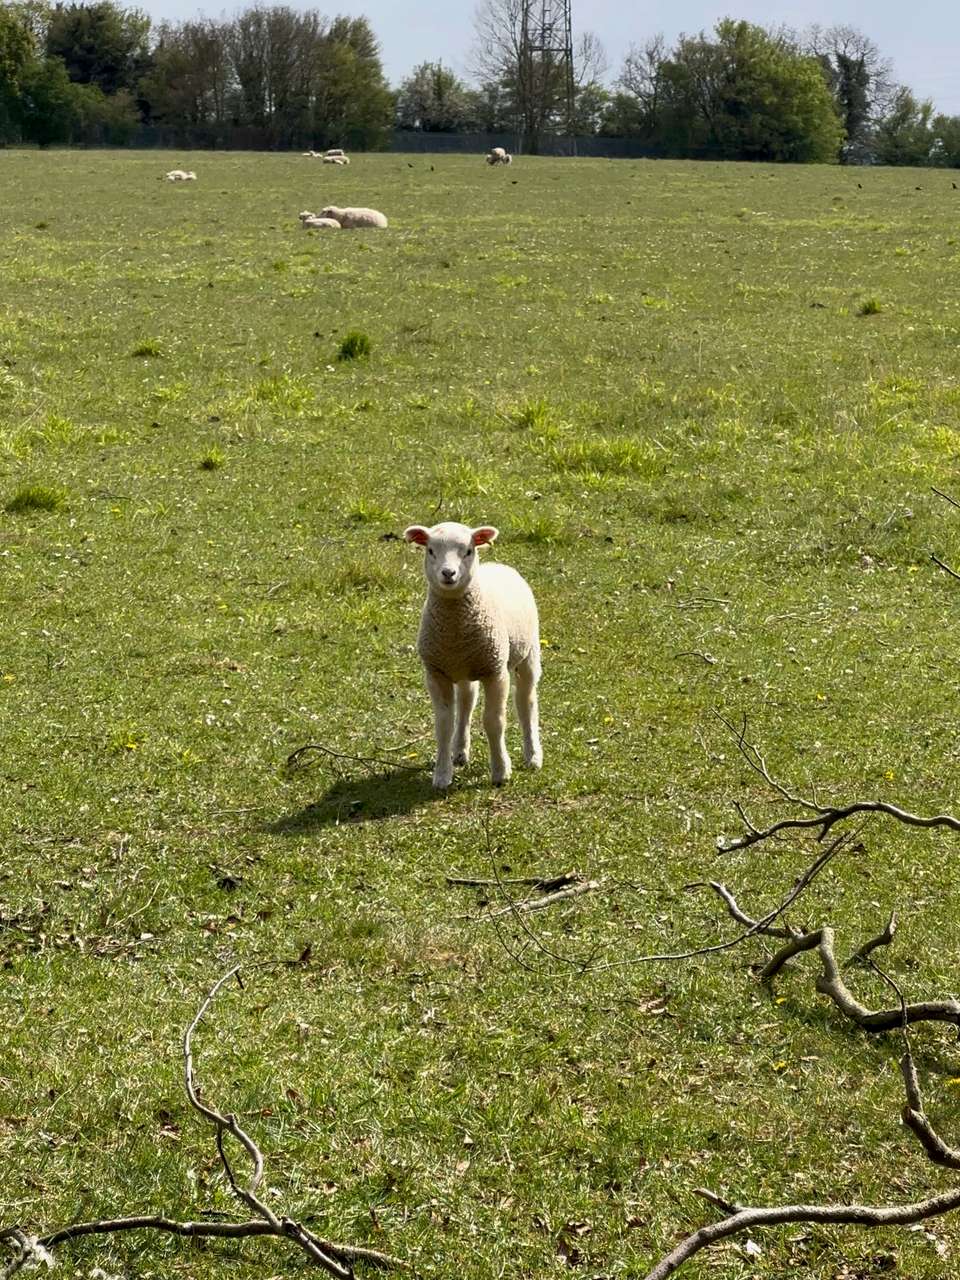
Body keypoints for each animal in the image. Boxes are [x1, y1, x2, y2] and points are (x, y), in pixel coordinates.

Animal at [404, 521, 542, 790]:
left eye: (468, 551)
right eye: (431, 550)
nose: (448, 573)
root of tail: (498, 565)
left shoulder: (496, 671)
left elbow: (494, 721)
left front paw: (501, 771)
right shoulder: (436, 673)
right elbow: (444, 725)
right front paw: (442, 775)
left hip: (528, 653)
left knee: (526, 701)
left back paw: (533, 755)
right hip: (464, 668)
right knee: (467, 702)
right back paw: (459, 751)